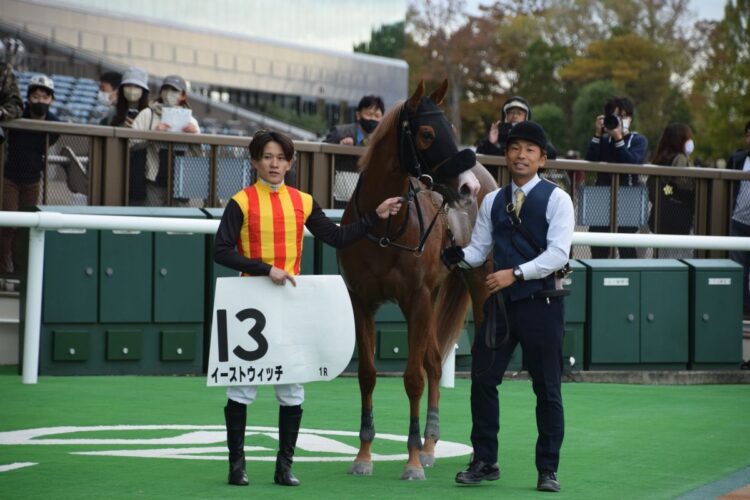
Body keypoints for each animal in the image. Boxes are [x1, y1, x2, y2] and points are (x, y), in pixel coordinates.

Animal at [338, 81, 496, 480]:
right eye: (427, 134)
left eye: (452, 129)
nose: (467, 187)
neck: (384, 228)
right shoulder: (362, 302)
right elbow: (367, 374)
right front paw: (364, 456)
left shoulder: (416, 299)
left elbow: (412, 379)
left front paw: (410, 463)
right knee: (435, 362)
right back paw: (429, 445)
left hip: (477, 285)